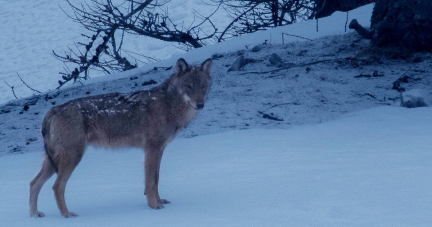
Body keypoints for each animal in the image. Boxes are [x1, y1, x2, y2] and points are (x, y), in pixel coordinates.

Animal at [29, 57, 213, 217]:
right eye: (189, 86)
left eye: (203, 86)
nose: (200, 105)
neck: (168, 104)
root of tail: (53, 110)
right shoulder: (152, 149)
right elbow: (151, 182)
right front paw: (154, 206)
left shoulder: (159, 150)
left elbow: (156, 178)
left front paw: (160, 202)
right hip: (72, 158)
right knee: (57, 186)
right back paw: (67, 215)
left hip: (54, 162)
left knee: (33, 184)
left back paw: (35, 214)